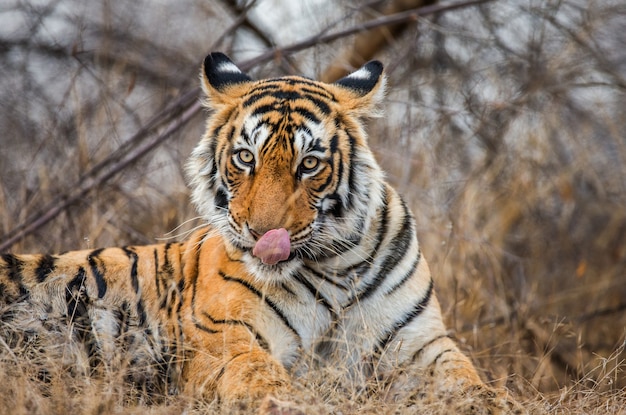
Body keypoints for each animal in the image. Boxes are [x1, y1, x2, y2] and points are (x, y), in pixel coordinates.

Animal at [0, 53, 516, 414]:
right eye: (246, 157)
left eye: (309, 164)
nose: (264, 234)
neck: (337, 264)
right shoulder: (225, 335)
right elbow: (259, 376)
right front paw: (299, 404)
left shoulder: (421, 345)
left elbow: (468, 381)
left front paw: (497, 402)